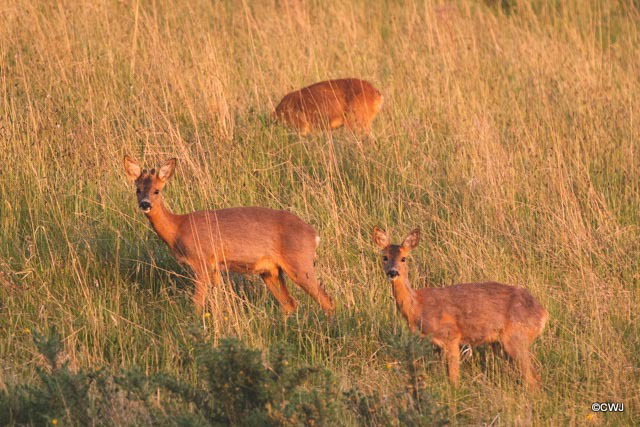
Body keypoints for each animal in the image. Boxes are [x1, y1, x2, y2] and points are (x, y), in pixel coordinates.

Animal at [122, 155, 338, 316]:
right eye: (137, 189)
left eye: (157, 190)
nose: (145, 204)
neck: (178, 228)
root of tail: (314, 235)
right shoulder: (216, 268)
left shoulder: (202, 262)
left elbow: (197, 303)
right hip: (270, 271)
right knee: (290, 304)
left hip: (300, 263)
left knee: (326, 300)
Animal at [372, 227, 548, 388]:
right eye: (385, 257)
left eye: (404, 258)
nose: (392, 272)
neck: (417, 308)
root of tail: (543, 313)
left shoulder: (451, 335)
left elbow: (454, 379)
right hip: (500, 344)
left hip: (517, 337)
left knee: (533, 379)